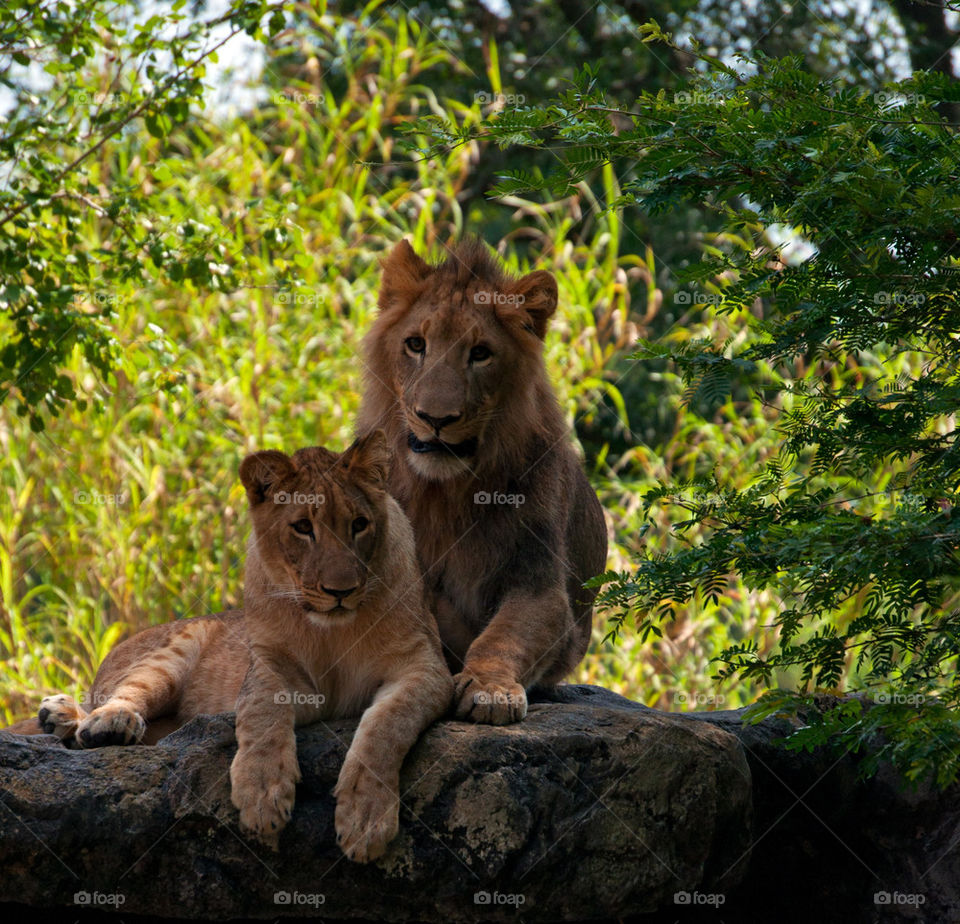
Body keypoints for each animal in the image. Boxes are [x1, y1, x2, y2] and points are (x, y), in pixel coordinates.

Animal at [9, 431, 453, 863]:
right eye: (302, 528)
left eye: (359, 524)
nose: (340, 592)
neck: (333, 631)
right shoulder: (271, 665)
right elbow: (261, 711)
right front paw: (261, 793)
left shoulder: (426, 668)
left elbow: (386, 726)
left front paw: (365, 817)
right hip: (177, 649)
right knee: (115, 699)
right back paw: (92, 721)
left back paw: (60, 718)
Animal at [356, 238, 608, 726]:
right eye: (416, 344)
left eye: (480, 353)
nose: (436, 419)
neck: (445, 492)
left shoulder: (540, 583)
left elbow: (504, 635)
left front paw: (490, 690)